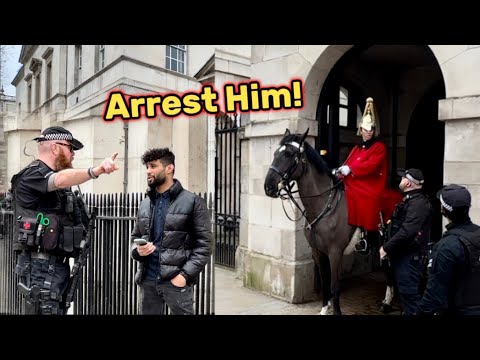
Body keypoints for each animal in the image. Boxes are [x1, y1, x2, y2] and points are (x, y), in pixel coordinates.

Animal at [264, 128, 358, 314]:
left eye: (289, 154)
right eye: (275, 153)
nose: (268, 186)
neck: (324, 206)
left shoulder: (335, 252)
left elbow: (335, 285)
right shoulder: (318, 251)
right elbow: (324, 281)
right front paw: (324, 309)